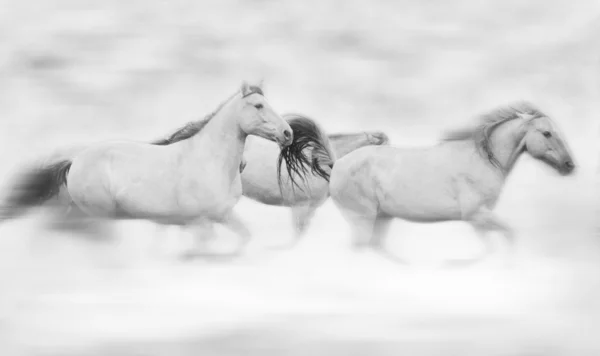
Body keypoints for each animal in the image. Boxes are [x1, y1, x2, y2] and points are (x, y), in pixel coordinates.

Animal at [0, 82, 318, 258]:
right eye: (258, 105)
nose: (288, 133)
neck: (210, 160)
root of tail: (73, 162)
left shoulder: (218, 216)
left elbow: (242, 238)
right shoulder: (201, 219)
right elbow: (204, 246)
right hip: (96, 214)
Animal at [328, 101, 576, 266]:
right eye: (547, 133)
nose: (569, 165)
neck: (482, 160)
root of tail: (338, 165)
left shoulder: (480, 218)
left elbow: (499, 242)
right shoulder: (475, 215)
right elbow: (501, 241)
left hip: (382, 217)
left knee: (375, 248)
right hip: (363, 218)